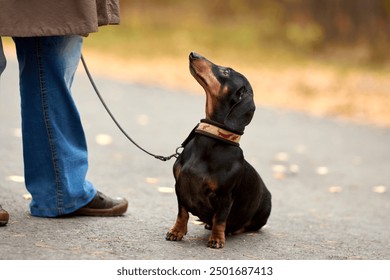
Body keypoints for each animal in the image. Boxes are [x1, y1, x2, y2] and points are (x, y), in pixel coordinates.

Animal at [165, 52, 272, 249]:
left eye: (226, 71)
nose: (193, 54)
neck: (212, 138)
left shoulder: (225, 197)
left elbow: (220, 219)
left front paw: (217, 239)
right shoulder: (179, 187)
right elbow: (182, 212)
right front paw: (176, 231)